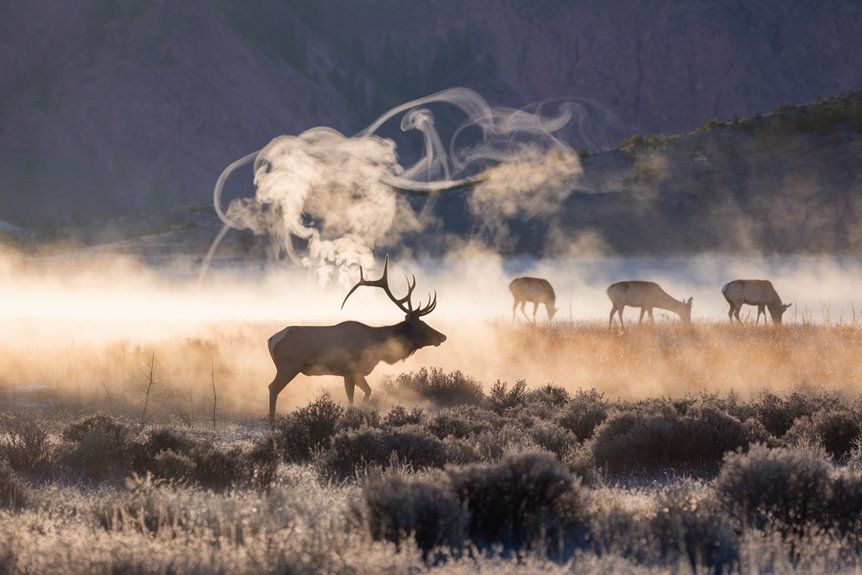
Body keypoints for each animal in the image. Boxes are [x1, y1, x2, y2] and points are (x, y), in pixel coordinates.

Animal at [266, 256, 446, 418]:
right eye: (422, 325)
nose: (442, 337)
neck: (378, 347)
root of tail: (271, 340)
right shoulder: (351, 370)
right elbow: (359, 395)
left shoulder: (350, 373)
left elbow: (362, 393)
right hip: (289, 366)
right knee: (272, 388)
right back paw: (272, 421)